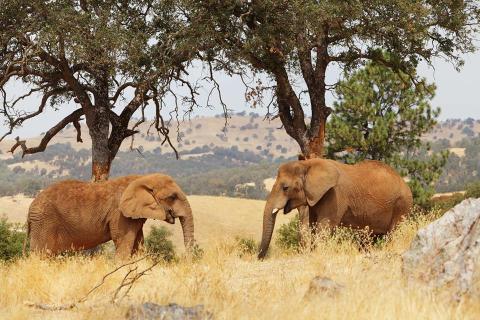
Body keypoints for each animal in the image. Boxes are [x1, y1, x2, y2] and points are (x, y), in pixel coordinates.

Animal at [25, 174, 195, 258]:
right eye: (172, 197)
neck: (143, 178)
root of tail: (31, 207)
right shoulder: (120, 214)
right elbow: (123, 241)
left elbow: (138, 242)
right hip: (44, 222)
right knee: (41, 255)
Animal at [258, 159, 412, 258]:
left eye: (285, 187)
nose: (260, 258)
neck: (307, 164)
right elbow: (313, 226)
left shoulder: (334, 195)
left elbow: (323, 227)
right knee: (369, 237)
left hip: (401, 204)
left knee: (392, 234)